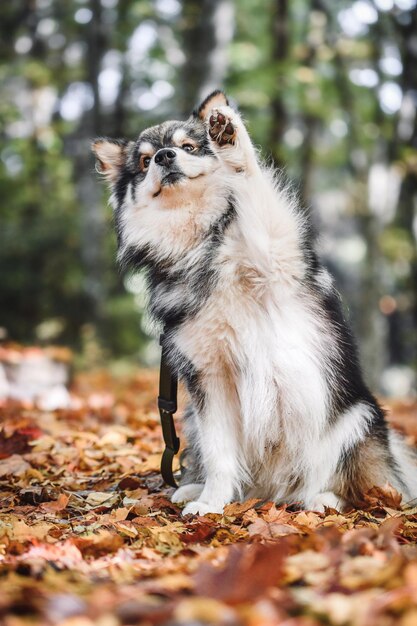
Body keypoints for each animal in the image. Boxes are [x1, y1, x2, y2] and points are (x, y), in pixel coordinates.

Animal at [92, 90, 416, 516]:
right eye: (145, 162)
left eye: (189, 147)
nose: (164, 156)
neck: (202, 247)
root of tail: (273, 491)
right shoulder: (209, 379)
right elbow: (220, 455)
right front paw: (212, 502)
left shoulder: (276, 254)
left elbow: (251, 184)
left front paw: (229, 136)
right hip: (195, 419)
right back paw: (196, 489)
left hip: (355, 417)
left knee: (350, 483)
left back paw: (324, 499)